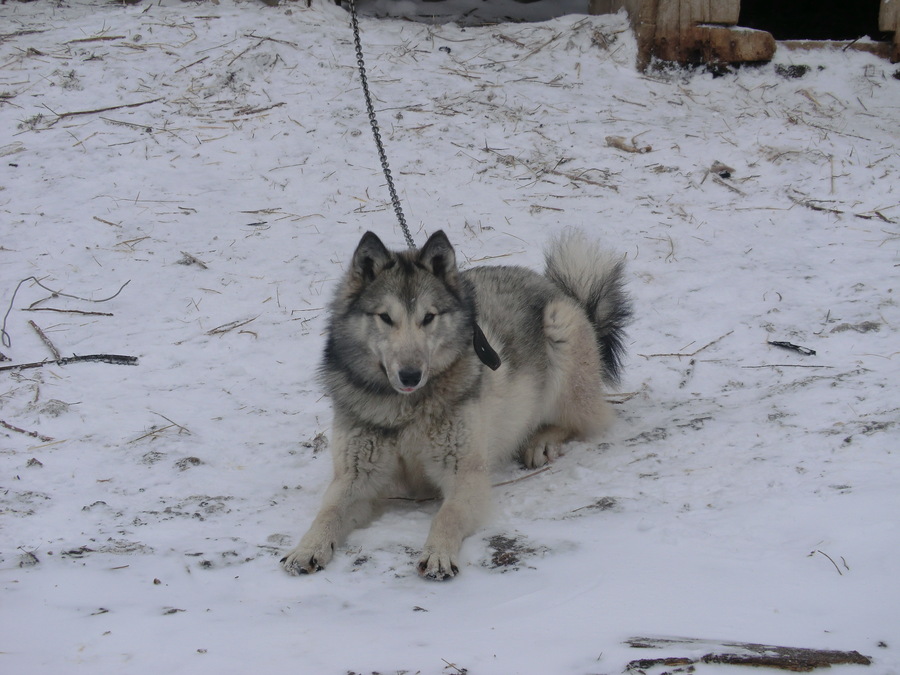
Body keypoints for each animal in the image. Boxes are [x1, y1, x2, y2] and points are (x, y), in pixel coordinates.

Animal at [278, 231, 628, 580]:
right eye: (386, 318)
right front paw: (307, 548)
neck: (405, 410)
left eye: (428, 318)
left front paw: (438, 554)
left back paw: (540, 441)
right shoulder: (356, 478)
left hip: (561, 337)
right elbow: (328, 512)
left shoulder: (465, 475)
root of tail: (560, 291)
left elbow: (447, 516)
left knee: (586, 421)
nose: (410, 374)